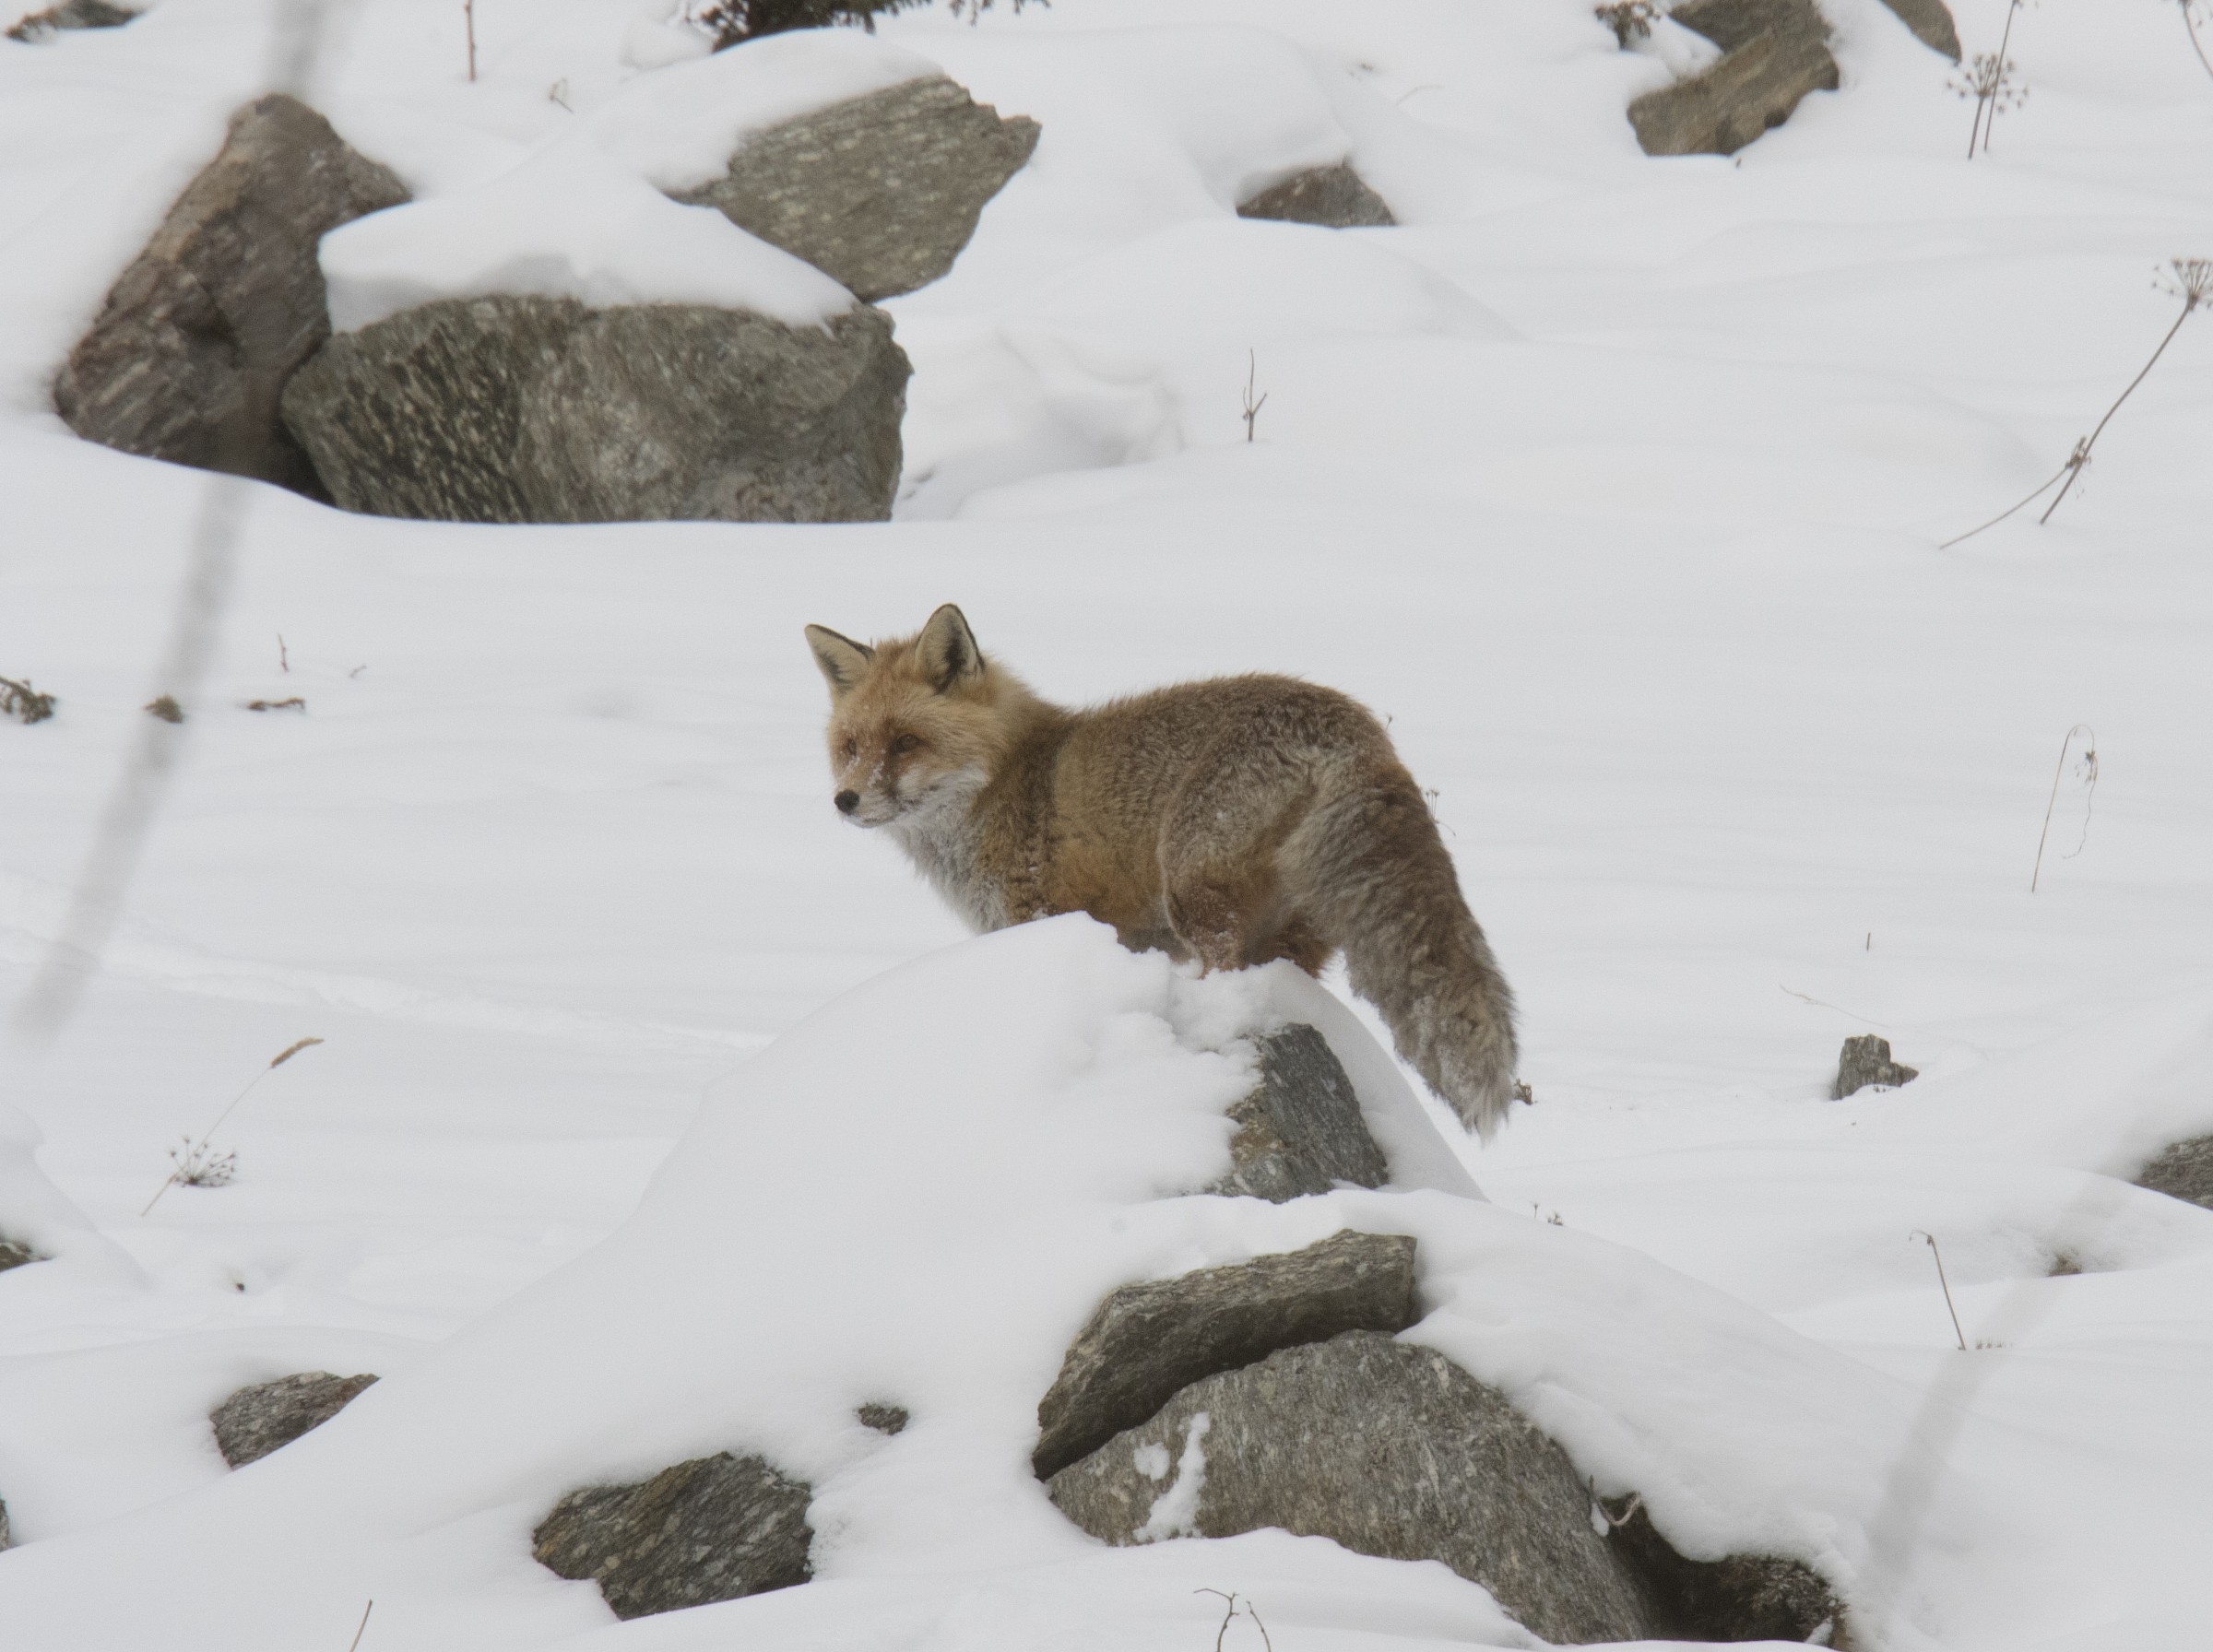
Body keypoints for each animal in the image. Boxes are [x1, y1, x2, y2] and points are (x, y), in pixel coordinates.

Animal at [802, 604, 1519, 1135]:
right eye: (851, 747)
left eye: (906, 742)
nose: (845, 800)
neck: (1008, 780)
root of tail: (1352, 722)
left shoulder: (1047, 916)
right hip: (1292, 929)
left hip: (1192, 891)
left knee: (1225, 968)